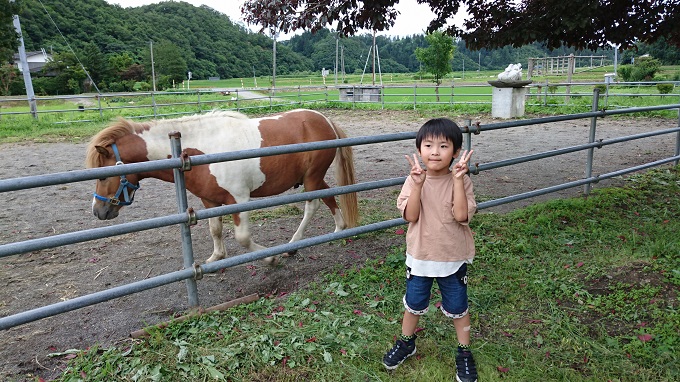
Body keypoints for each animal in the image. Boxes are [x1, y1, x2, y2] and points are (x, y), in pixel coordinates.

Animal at [86, 107, 356, 264]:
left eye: (102, 176)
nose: (98, 211)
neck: (200, 151)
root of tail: (325, 120)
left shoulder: (239, 199)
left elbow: (243, 238)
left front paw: (269, 259)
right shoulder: (210, 200)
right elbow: (214, 230)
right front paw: (216, 257)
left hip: (311, 178)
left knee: (312, 206)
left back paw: (292, 245)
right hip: (315, 178)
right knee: (329, 196)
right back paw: (339, 229)